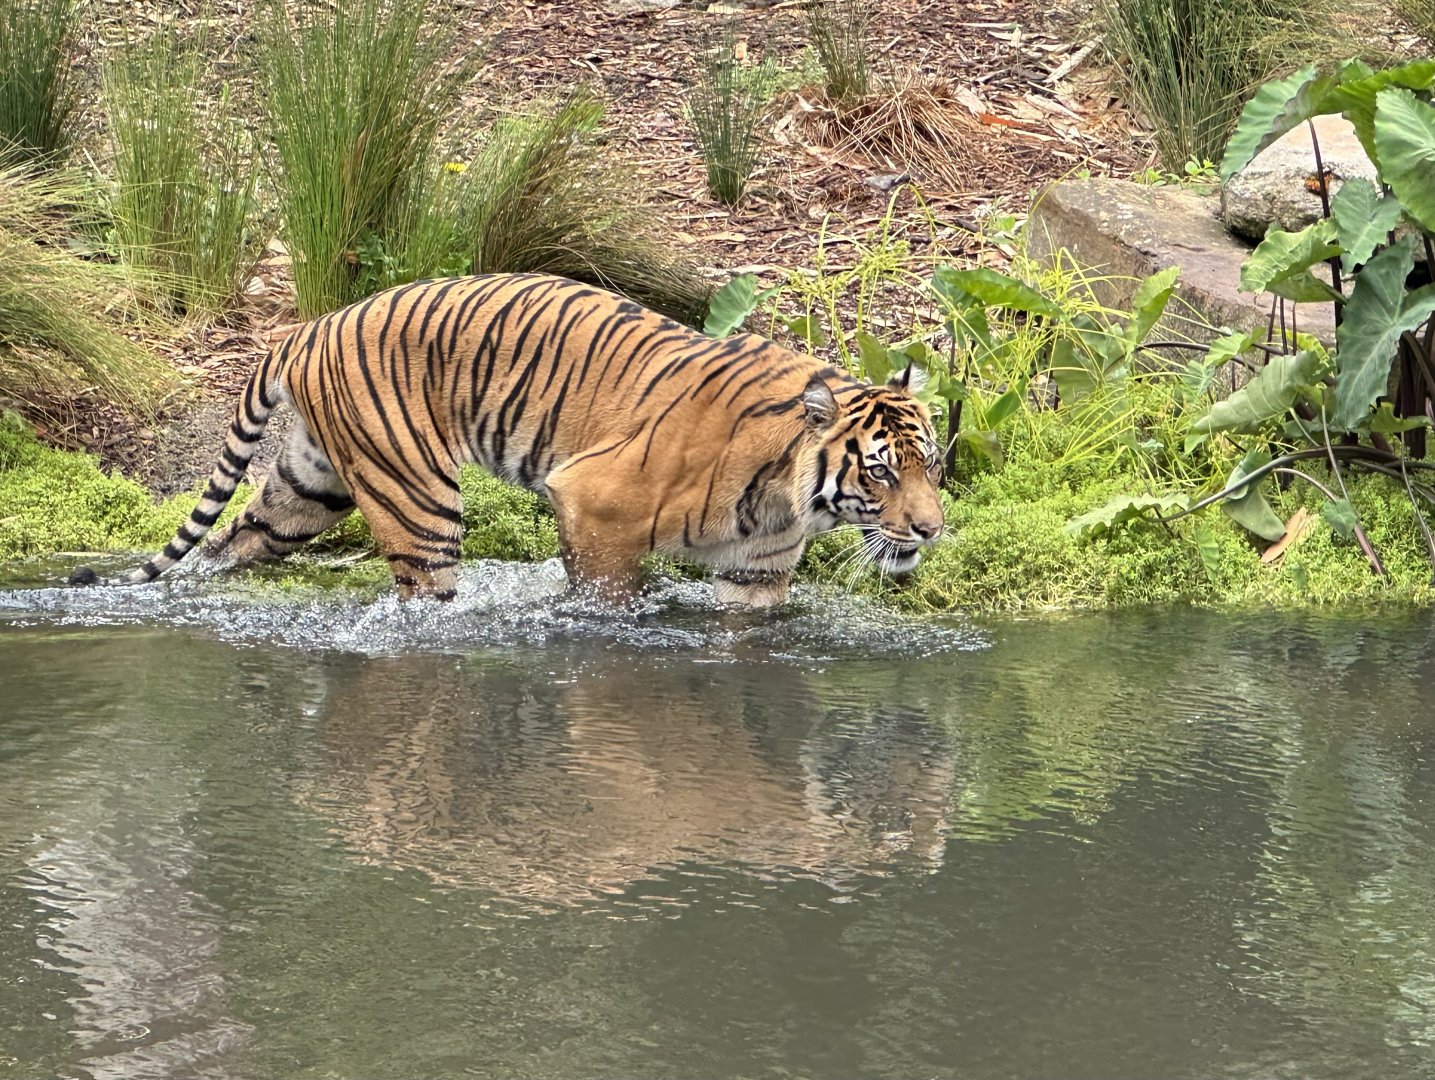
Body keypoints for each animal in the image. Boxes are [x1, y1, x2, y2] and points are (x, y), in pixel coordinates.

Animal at [77, 273, 945, 607]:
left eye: (931, 467)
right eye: (879, 473)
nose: (932, 530)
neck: (789, 494)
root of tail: (308, 327)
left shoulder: (755, 577)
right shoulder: (596, 504)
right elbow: (607, 602)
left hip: (309, 486)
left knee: (233, 540)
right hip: (418, 498)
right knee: (422, 597)